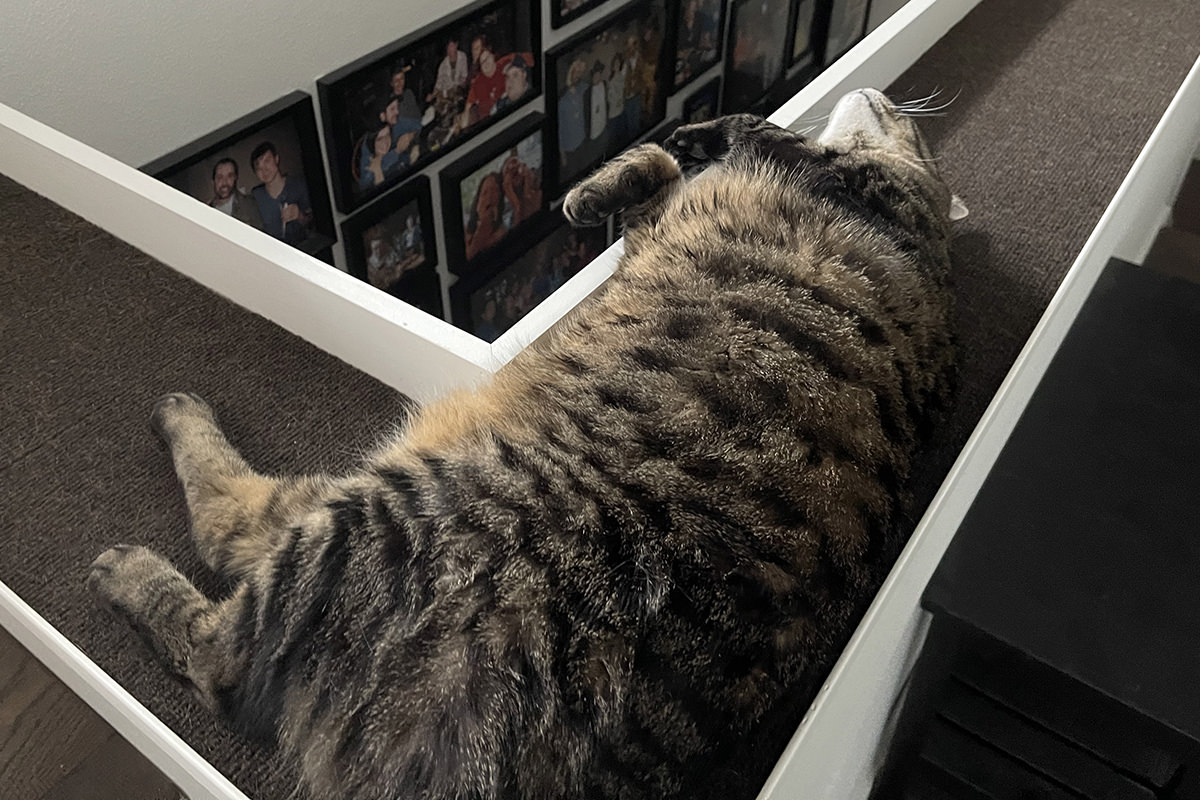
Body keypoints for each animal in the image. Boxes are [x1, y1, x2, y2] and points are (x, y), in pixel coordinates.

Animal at [88, 90, 955, 796]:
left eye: (910, 126)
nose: (882, 93)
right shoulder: (668, 224)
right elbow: (660, 171)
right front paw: (623, 171)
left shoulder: (836, 177)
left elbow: (753, 126)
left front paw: (687, 139)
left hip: (384, 516)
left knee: (223, 621)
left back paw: (142, 518)